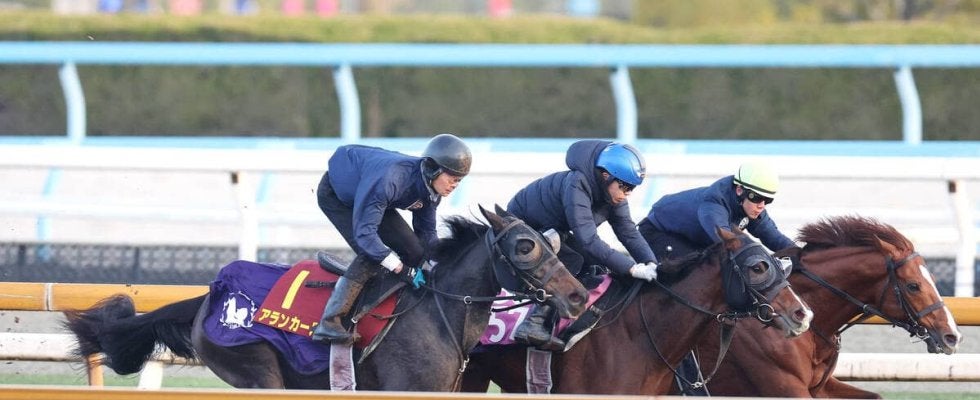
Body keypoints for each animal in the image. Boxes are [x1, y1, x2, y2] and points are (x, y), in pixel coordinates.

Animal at [63, 205, 590, 391]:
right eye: (524, 247)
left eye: (550, 241)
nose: (578, 295)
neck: (438, 313)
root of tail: (209, 296)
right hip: (257, 371)